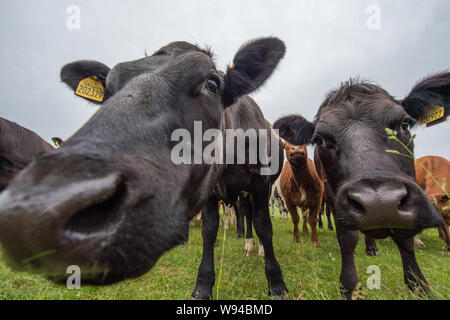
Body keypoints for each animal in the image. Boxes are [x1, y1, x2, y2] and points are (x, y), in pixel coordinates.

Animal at [272, 75, 448, 300]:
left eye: (405, 123)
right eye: (319, 139)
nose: (380, 203)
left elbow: (405, 239)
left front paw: (418, 284)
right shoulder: (331, 196)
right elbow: (346, 238)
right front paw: (350, 286)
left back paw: (371, 247)